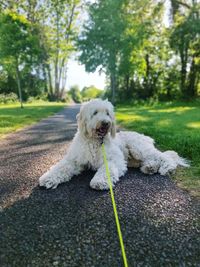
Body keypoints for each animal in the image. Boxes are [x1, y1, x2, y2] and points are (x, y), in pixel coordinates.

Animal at [39, 99, 189, 191]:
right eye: (95, 113)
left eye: (108, 113)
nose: (106, 123)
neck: (96, 142)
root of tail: (145, 136)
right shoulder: (74, 160)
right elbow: (62, 167)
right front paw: (49, 178)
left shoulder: (114, 159)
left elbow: (107, 168)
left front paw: (99, 181)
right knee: (150, 160)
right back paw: (150, 167)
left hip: (138, 148)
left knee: (163, 156)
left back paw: (167, 167)